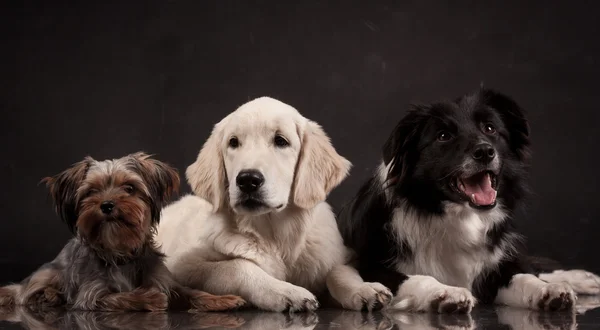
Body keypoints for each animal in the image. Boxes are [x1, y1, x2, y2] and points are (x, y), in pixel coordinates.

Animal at [0, 152, 246, 312]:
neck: (120, 251)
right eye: (91, 191)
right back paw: (47, 295)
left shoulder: (165, 281)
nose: (107, 205)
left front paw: (223, 299)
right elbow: (119, 297)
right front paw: (150, 298)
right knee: (24, 293)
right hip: (49, 272)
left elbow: (191, 291)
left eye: (129, 188)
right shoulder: (91, 295)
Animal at [155, 96, 392, 312]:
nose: (248, 180)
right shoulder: (181, 264)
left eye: (281, 141)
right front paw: (286, 292)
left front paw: (363, 289)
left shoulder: (341, 255)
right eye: (233, 142)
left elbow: (339, 270)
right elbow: (237, 265)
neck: (275, 235)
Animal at [338, 87, 600, 312]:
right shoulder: (371, 266)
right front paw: (445, 293)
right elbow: (417, 278)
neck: (454, 215)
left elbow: (523, 276)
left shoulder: (494, 268)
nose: (485, 151)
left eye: (490, 129)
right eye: (443, 136)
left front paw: (548, 290)